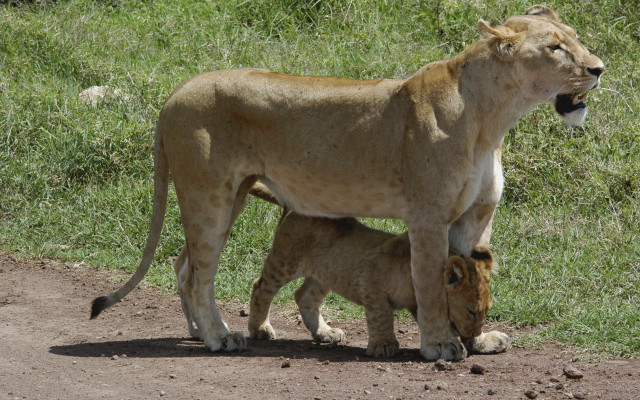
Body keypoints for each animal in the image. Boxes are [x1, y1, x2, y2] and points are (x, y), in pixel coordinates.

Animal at [90, 5, 602, 361]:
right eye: (555, 48)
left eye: (576, 40)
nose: (598, 69)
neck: (494, 118)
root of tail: (175, 92)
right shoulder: (428, 217)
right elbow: (431, 283)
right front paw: (439, 345)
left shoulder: (474, 221)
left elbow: (469, 278)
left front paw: (477, 339)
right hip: (208, 196)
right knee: (201, 274)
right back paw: (220, 337)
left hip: (231, 195)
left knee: (184, 265)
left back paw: (199, 331)